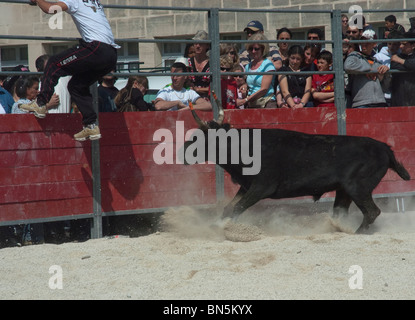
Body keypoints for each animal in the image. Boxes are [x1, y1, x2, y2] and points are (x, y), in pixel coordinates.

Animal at [186, 97, 412, 232]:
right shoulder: (246, 186)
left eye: (202, 138)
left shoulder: (261, 187)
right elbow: (229, 208)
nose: (183, 153)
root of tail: (384, 147)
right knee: (341, 212)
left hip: (358, 188)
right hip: (345, 190)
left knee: (372, 212)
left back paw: (356, 233)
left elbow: (237, 208)